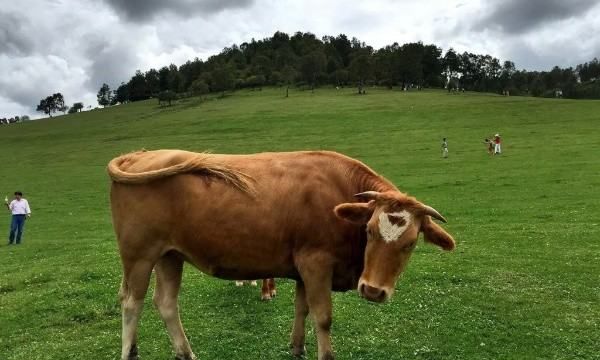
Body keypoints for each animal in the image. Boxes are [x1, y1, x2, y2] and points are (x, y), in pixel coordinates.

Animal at [109, 149, 454, 360]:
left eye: (410, 243)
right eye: (369, 231)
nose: (372, 290)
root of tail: (141, 155)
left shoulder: (303, 267)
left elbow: (302, 309)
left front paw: (297, 347)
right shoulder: (316, 263)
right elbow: (323, 317)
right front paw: (324, 354)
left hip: (170, 255)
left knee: (166, 303)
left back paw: (186, 353)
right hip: (139, 255)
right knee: (131, 302)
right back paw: (130, 352)